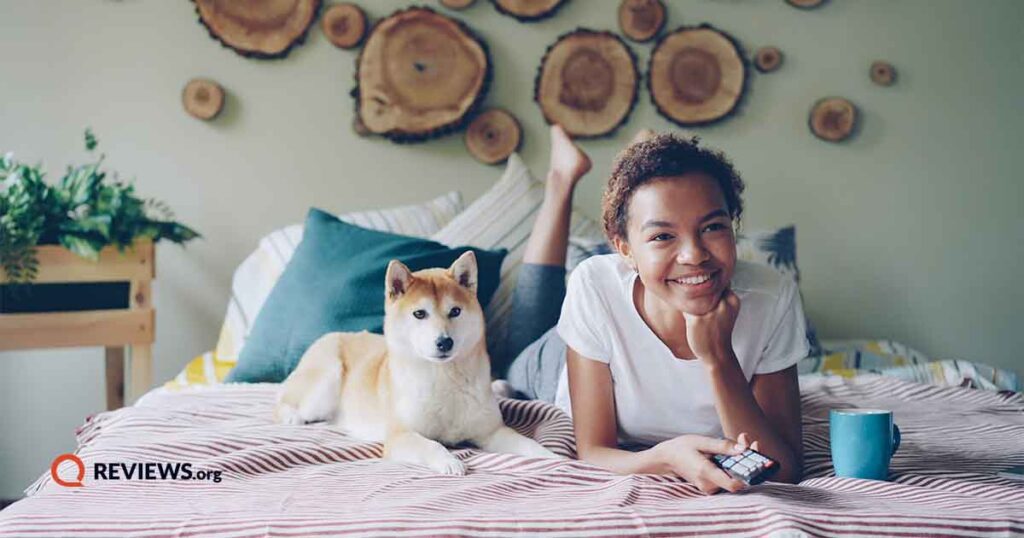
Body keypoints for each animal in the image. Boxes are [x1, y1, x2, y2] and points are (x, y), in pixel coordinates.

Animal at [272, 252, 561, 473]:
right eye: (419, 314)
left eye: (455, 311)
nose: (444, 342)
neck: (444, 379)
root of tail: (331, 335)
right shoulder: (402, 435)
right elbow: (431, 444)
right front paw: (449, 461)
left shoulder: (491, 432)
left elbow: (529, 445)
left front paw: (553, 457)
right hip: (327, 380)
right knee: (283, 402)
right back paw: (291, 416)